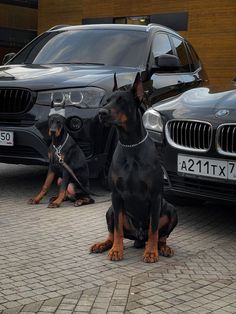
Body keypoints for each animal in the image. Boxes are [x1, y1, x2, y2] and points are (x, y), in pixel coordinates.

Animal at [91, 73, 178, 262]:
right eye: (106, 101)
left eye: (122, 101)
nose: (101, 113)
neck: (130, 144)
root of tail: (139, 238)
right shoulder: (116, 195)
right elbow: (117, 230)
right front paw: (116, 250)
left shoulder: (155, 196)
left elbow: (154, 229)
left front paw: (151, 252)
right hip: (110, 210)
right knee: (113, 232)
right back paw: (103, 245)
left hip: (171, 210)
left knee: (161, 236)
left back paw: (162, 248)